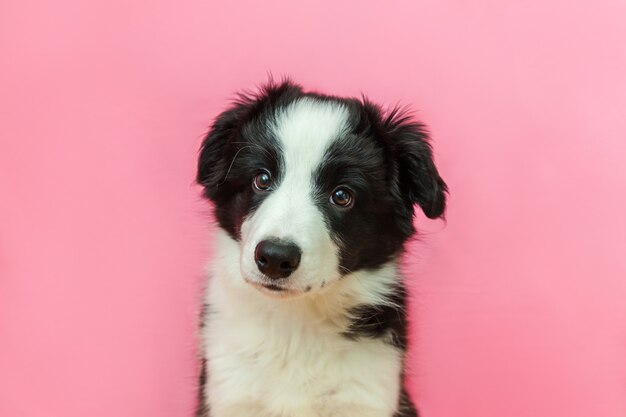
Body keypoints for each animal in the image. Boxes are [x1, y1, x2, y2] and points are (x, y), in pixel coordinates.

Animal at [195, 79, 444, 416]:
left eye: (342, 195)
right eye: (262, 179)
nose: (274, 258)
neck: (295, 323)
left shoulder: (367, 391)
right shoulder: (231, 389)